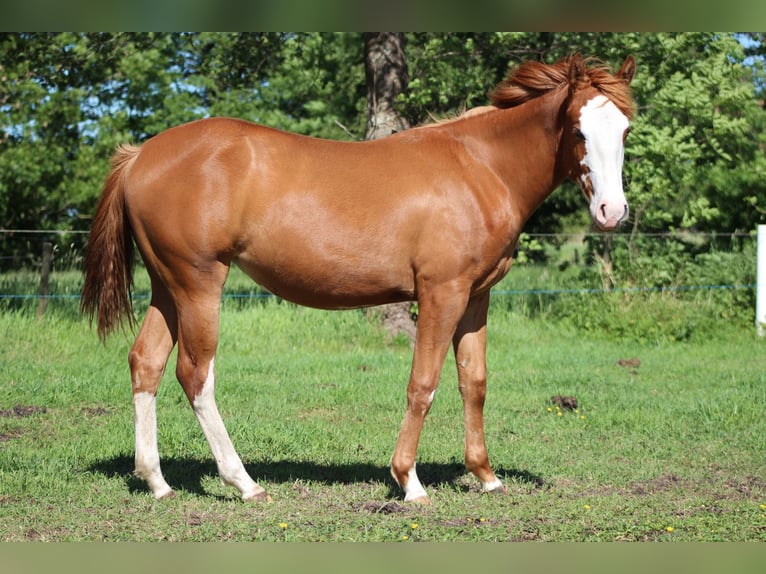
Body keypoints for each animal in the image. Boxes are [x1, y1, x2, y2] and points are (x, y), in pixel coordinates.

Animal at [81, 54, 636, 504]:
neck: (480, 168)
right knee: (195, 376)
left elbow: (473, 382)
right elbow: (423, 383)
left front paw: (486, 476)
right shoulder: (442, 294)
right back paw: (244, 483)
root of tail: (139, 156)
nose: (612, 212)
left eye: (625, 131)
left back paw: (157, 482)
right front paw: (409, 481)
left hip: (167, 289)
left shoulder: (477, 298)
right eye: (578, 130)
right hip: (198, 286)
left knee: (146, 363)